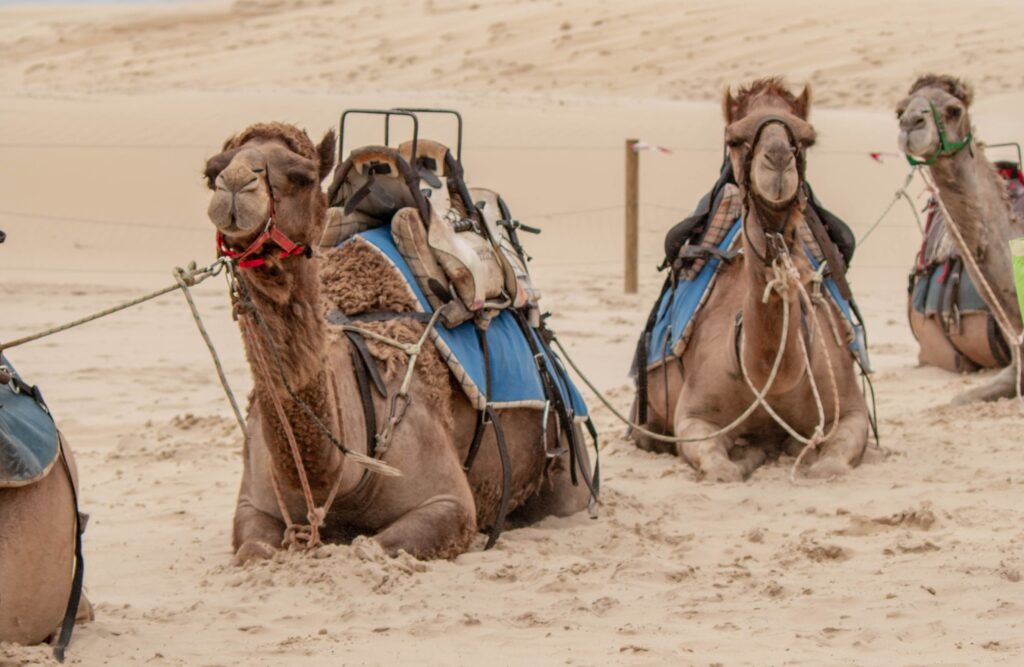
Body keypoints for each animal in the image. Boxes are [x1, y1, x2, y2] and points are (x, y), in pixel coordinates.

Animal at [205, 121, 593, 565]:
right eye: (211, 172)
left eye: (303, 176)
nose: (235, 184)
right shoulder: (252, 506)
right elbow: (252, 550)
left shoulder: (448, 503)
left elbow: (370, 548)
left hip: (567, 454)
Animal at [634, 79, 868, 479]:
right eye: (733, 139)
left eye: (807, 138)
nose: (777, 159)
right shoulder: (693, 418)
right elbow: (721, 468)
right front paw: (749, 453)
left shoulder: (853, 411)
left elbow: (829, 466)